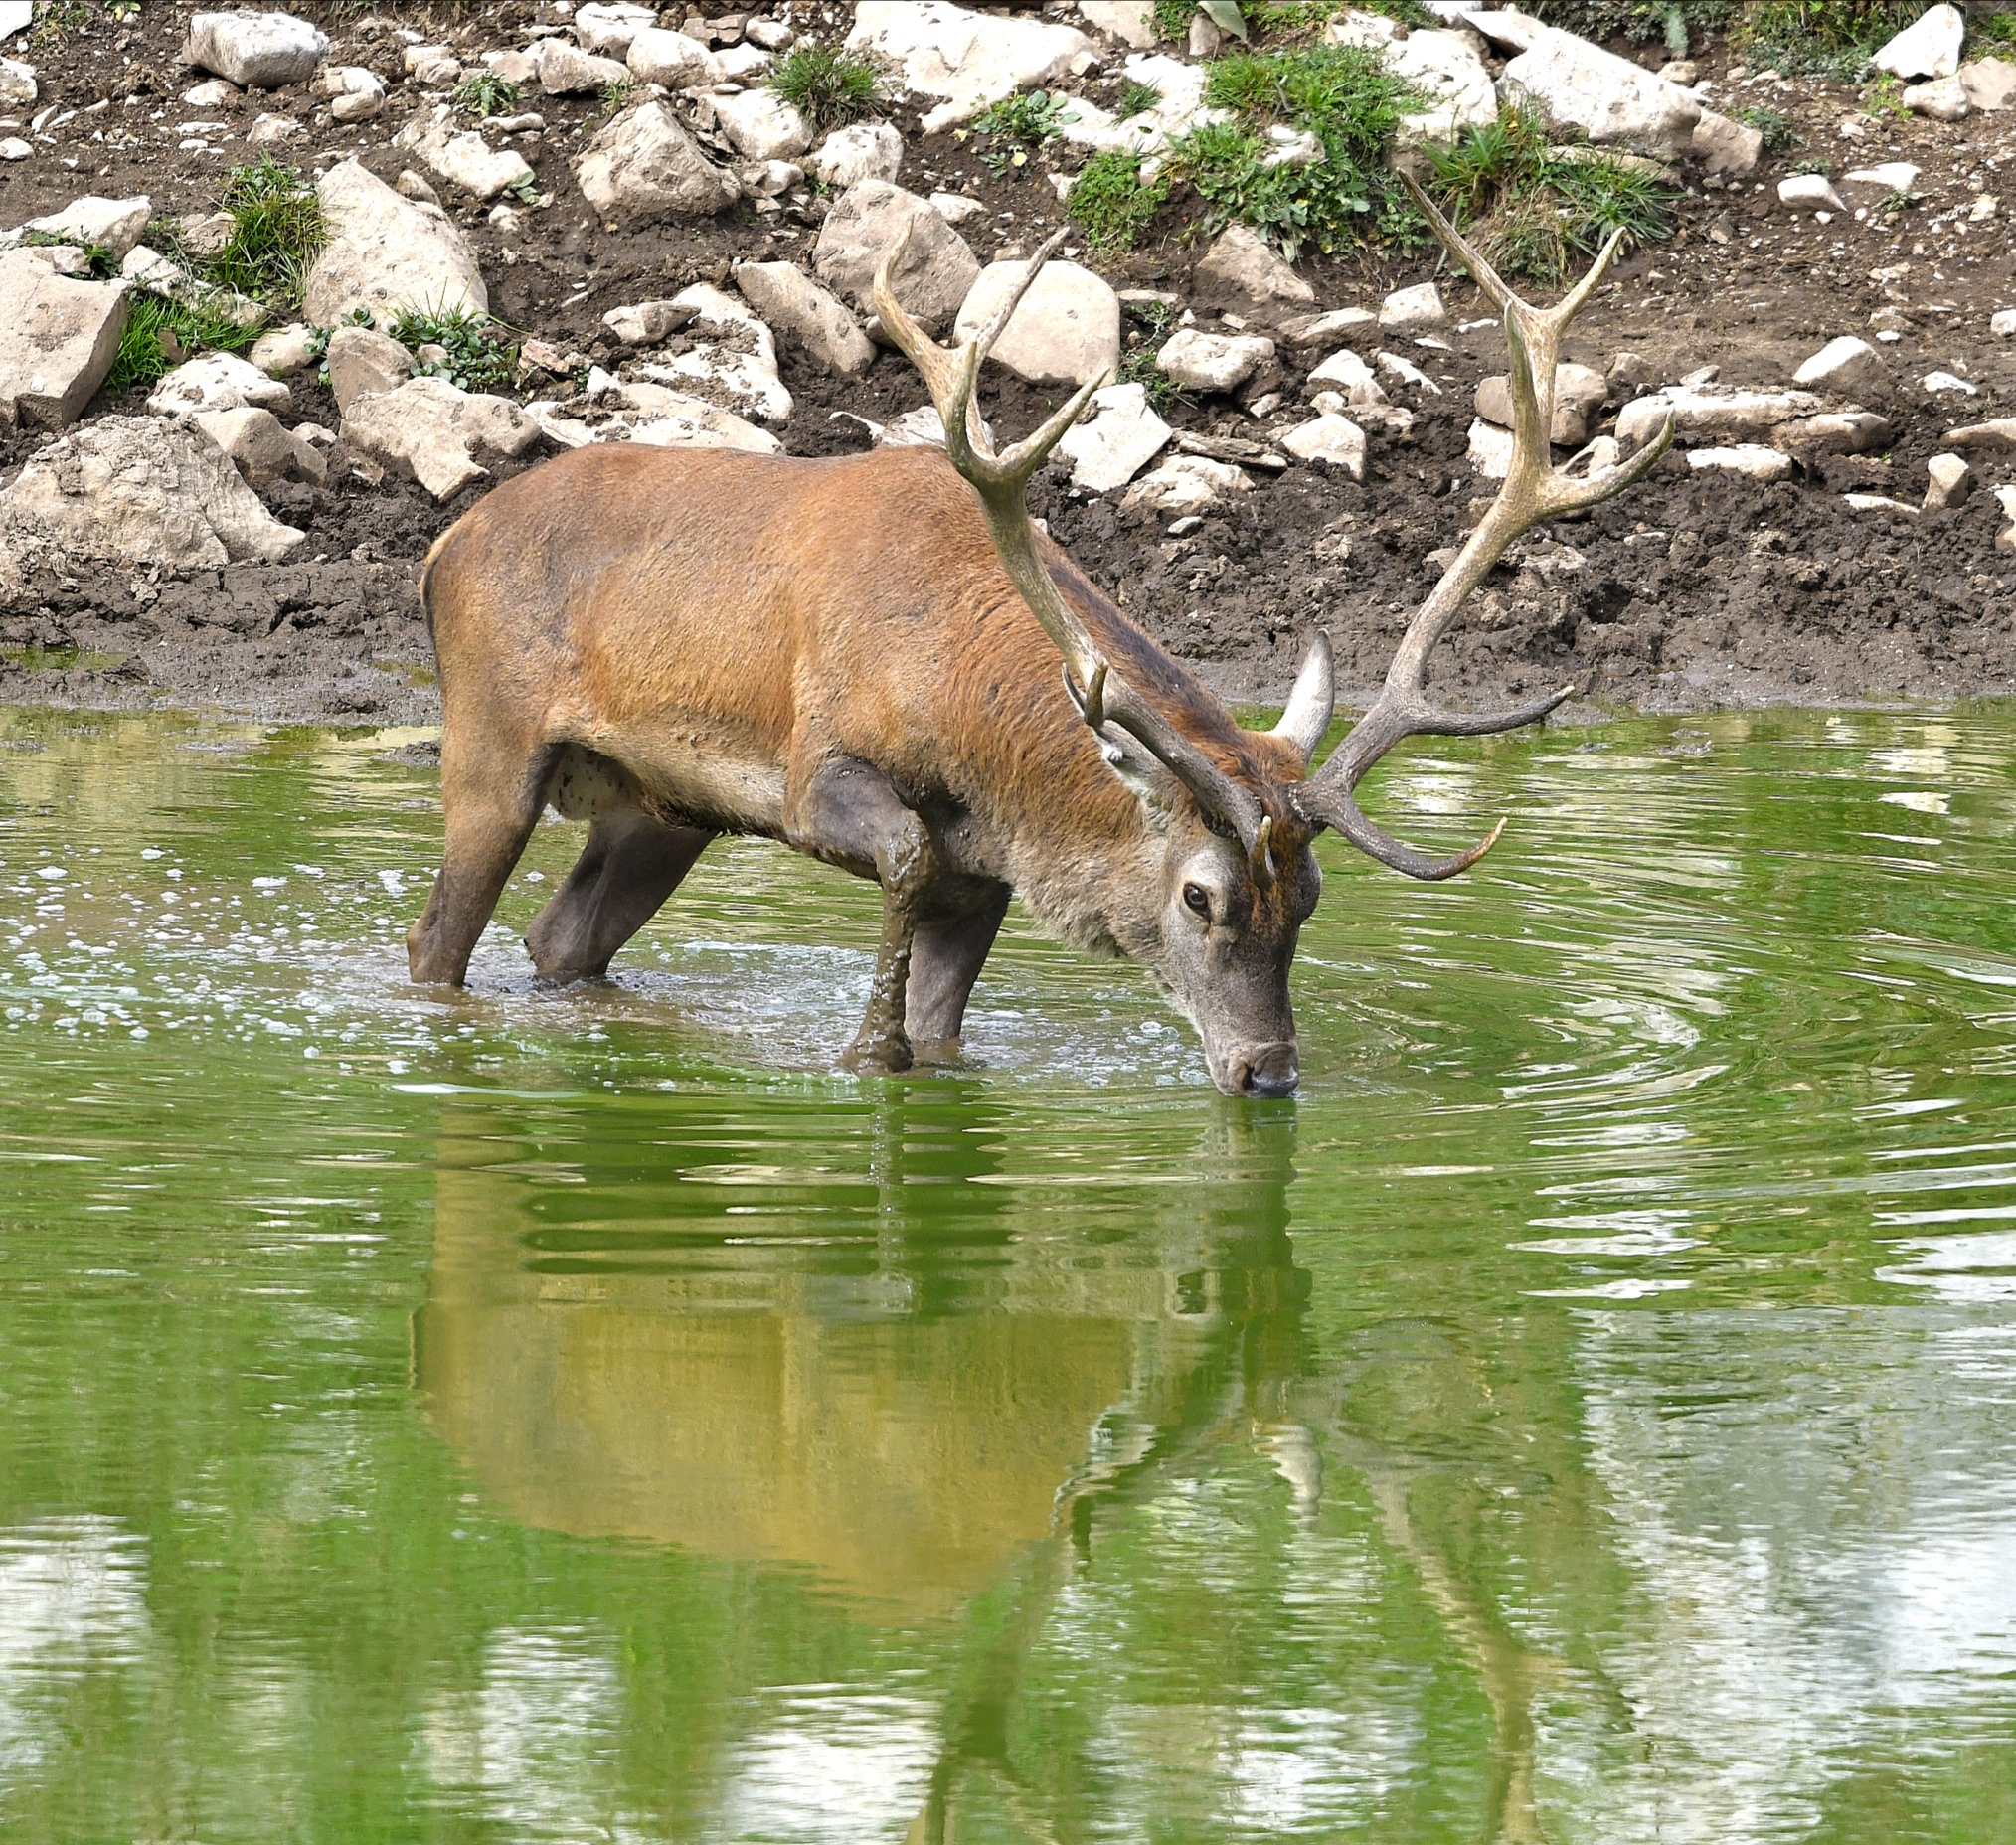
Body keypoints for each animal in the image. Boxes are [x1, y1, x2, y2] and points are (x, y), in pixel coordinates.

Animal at [406, 178, 1672, 1097]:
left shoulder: (986, 871)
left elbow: (947, 1012)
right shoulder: (822, 769)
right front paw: (865, 1055)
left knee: (560, 939)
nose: (1268, 1072)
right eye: (1200, 896)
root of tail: (443, 546)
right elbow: (899, 856)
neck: (980, 739)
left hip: (659, 805)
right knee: (435, 944)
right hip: (494, 737)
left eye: (1309, 899)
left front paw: (914, 1056)